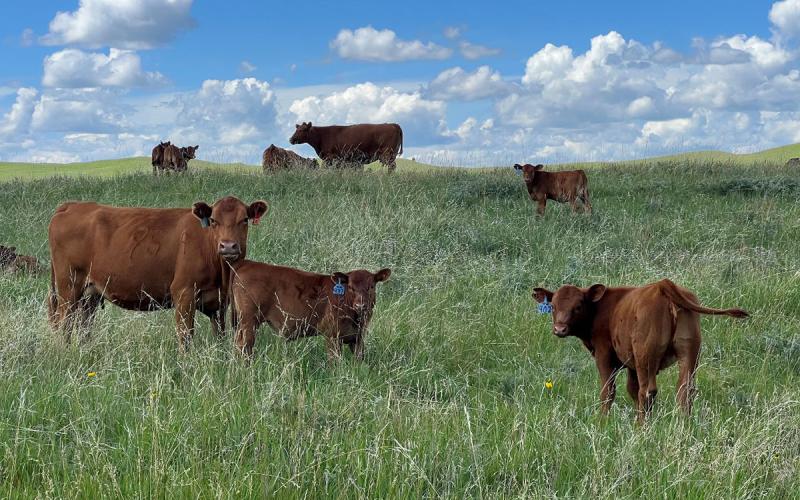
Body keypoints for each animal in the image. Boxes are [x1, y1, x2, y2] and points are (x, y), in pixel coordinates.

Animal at [48, 196, 268, 350]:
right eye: (213, 220)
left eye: (245, 220)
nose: (228, 246)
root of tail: (72, 205)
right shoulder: (184, 292)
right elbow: (186, 336)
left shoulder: (220, 301)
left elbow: (220, 335)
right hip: (68, 287)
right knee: (64, 323)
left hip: (90, 294)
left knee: (84, 325)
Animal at [230, 260, 391, 359]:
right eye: (350, 287)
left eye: (371, 286)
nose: (360, 305)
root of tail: (247, 264)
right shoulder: (332, 336)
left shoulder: (358, 338)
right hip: (249, 321)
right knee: (244, 346)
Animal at [532, 279, 748, 422]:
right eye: (553, 306)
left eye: (578, 306)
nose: (559, 329)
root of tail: (662, 286)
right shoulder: (631, 364)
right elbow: (632, 389)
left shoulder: (604, 354)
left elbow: (608, 391)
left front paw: (602, 422)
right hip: (688, 352)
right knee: (684, 390)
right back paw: (682, 425)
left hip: (647, 356)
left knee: (648, 391)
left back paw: (642, 427)